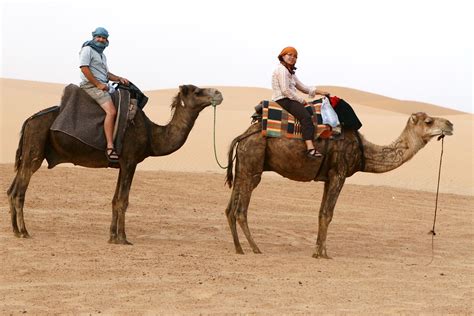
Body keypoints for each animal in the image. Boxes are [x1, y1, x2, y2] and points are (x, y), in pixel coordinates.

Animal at [6, 84, 222, 244]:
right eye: (197, 91)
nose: (219, 93)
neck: (152, 134)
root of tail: (28, 120)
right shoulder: (130, 161)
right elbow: (123, 200)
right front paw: (123, 238)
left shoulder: (121, 164)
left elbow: (114, 199)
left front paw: (112, 236)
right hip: (35, 149)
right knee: (20, 192)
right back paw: (24, 232)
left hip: (29, 153)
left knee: (11, 189)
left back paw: (15, 230)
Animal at [224, 112, 454, 258]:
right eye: (429, 121)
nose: (450, 124)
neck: (364, 151)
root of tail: (243, 136)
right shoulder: (339, 174)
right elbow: (328, 213)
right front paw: (324, 254)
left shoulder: (328, 177)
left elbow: (320, 212)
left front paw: (316, 251)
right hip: (253, 164)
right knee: (241, 210)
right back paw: (255, 248)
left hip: (243, 166)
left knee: (229, 209)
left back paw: (238, 248)